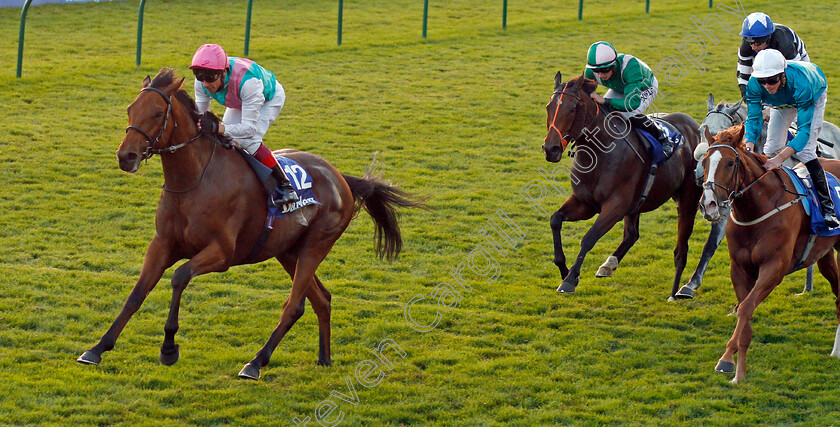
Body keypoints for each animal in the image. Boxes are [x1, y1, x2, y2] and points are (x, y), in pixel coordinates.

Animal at [75, 69, 424, 382]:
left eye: (158, 112)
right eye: (130, 108)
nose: (126, 156)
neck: (193, 181)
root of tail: (341, 178)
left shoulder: (222, 253)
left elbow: (179, 277)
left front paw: (169, 348)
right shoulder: (161, 245)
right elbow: (137, 293)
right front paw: (97, 348)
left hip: (316, 245)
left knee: (293, 305)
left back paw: (255, 363)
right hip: (288, 251)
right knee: (320, 299)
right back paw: (323, 358)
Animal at [540, 72, 712, 300]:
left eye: (572, 108)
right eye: (549, 107)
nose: (550, 149)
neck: (599, 152)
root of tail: (694, 125)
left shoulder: (615, 206)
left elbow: (589, 238)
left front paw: (569, 280)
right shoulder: (585, 203)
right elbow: (555, 220)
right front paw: (564, 270)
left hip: (687, 200)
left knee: (681, 250)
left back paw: (676, 293)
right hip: (636, 203)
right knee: (632, 235)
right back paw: (608, 265)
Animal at [700, 123, 840, 384]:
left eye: (730, 163)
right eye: (704, 161)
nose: (709, 204)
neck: (756, 208)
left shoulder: (774, 268)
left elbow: (746, 307)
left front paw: (725, 359)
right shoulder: (740, 268)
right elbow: (744, 310)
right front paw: (738, 371)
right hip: (825, 255)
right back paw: (836, 350)